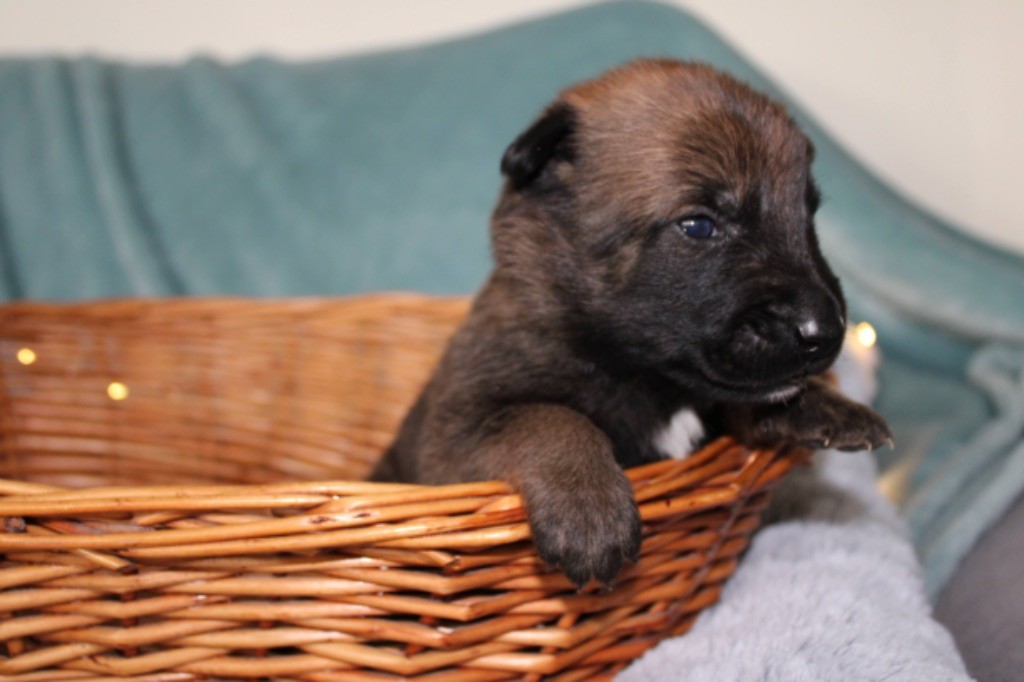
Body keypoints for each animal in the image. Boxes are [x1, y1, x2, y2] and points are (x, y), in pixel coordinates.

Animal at [371, 59, 892, 588]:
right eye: (699, 225)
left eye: (808, 214)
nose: (825, 331)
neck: (643, 375)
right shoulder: (453, 438)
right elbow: (548, 416)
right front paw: (589, 505)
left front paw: (823, 404)